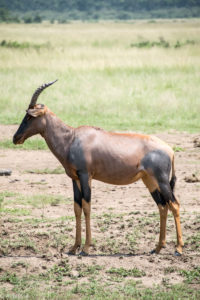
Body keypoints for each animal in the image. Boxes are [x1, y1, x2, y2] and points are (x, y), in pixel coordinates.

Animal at [13, 81, 184, 255]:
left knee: (174, 205)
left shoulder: (85, 175)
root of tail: (170, 150)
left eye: (29, 116)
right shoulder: (75, 178)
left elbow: (87, 206)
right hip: (149, 181)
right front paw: (74, 247)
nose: (15, 138)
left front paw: (86, 248)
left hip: (162, 180)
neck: (72, 138)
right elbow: (77, 208)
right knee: (162, 206)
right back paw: (157, 247)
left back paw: (178, 248)